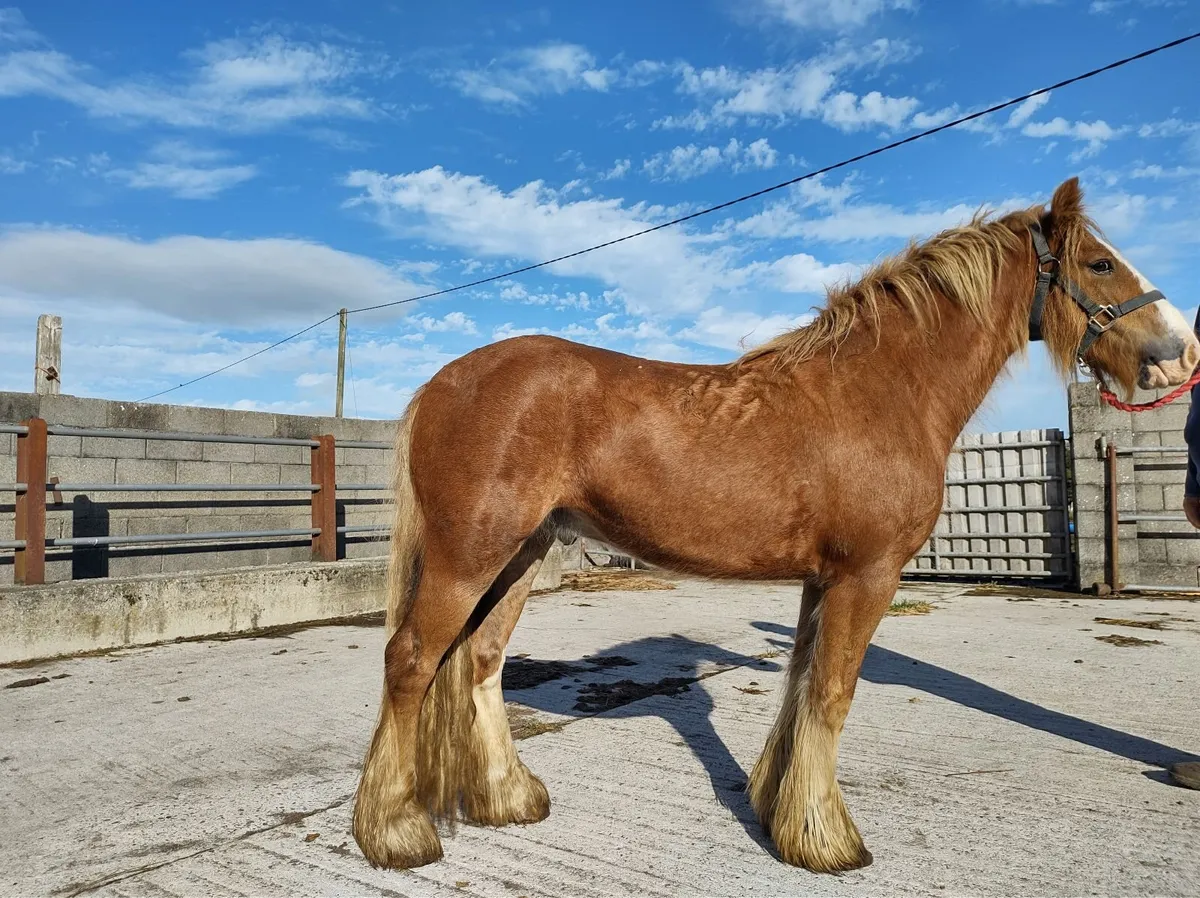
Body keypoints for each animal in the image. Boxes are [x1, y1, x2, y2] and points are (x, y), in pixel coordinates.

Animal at [350, 176, 1199, 874]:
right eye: (1101, 265)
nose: (1182, 351)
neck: (882, 389)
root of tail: (442, 382)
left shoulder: (824, 580)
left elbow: (801, 686)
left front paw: (779, 811)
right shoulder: (868, 575)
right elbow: (833, 694)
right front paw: (827, 841)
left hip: (522, 554)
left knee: (480, 660)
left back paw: (509, 797)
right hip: (469, 555)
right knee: (412, 660)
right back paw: (394, 832)